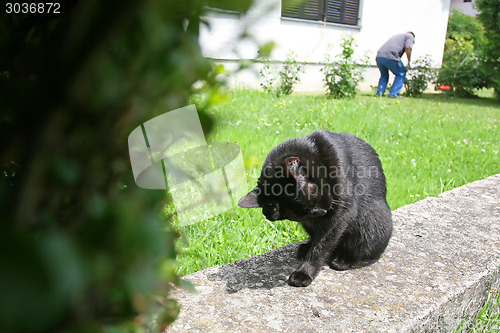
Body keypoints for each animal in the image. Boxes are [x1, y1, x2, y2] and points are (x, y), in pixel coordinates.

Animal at [240, 129, 392, 286]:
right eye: (304, 214)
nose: (323, 211)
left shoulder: (341, 215)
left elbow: (321, 247)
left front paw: (304, 273)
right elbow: (318, 241)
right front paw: (309, 252)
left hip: (373, 218)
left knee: (359, 247)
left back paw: (343, 261)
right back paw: (306, 247)